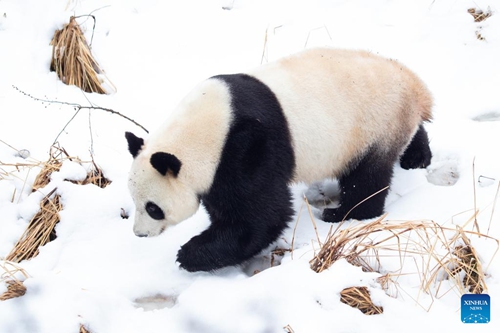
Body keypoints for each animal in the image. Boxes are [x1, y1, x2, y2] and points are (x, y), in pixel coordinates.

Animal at [126, 47, 434, 270]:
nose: (139, 234)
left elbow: (262, 215)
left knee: (367, 179)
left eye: (153, 208)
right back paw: (417, 157)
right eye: (135, 201)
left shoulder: (246, 147)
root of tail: (414, 85)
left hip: (374, 124)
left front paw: (189, 253)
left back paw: (342, 213)